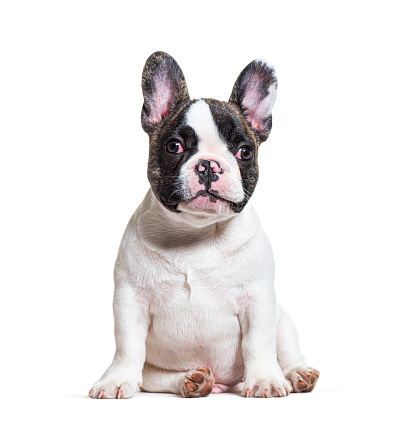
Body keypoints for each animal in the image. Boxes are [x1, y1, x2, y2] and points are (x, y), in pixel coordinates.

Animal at [89, 52, 320, 398]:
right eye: (174, 146)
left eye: (244, 151)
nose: (208, 165)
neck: (196, 232)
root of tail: (225, 383)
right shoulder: (130, 299)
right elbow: (128, 344)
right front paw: (116, 380)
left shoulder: (258, 301)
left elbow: (258, 342)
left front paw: (265, 379)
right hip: (158, 373)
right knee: (160, 378)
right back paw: (194, 380)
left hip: (283, 322)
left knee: (287, 349)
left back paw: (297, 374)